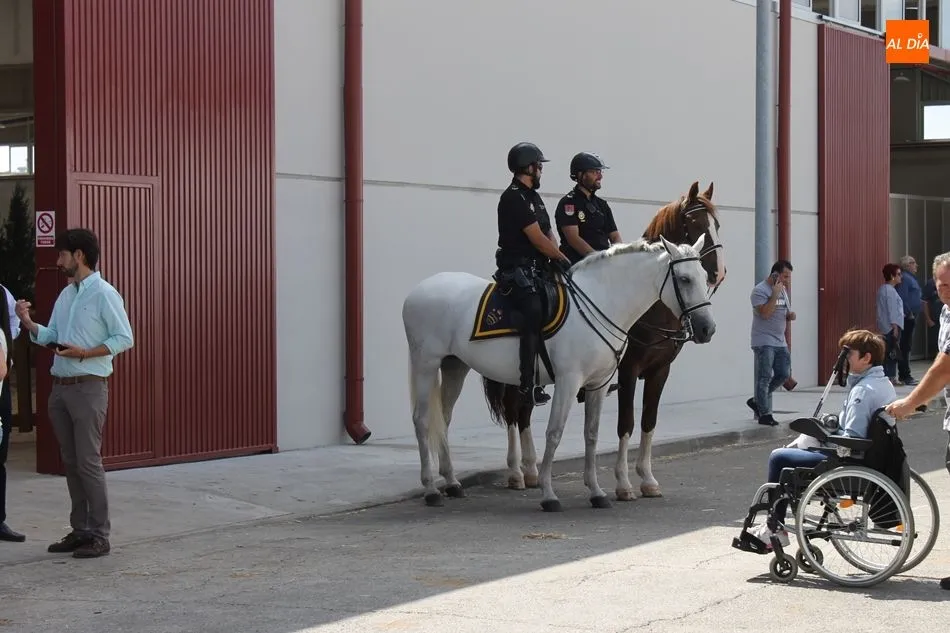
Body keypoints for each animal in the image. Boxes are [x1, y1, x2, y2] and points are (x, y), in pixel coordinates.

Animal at [402, 233, 716, 512]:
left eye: (704, 276)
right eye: (685, 279)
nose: (707, 329)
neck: (603, 302)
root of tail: (417, 291)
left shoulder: (599, 384)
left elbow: (592, 433)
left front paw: (596, 492)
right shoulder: (569, 381)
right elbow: (555, 432)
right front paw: (548, 494)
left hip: (455, 365)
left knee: (443, 419)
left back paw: (452, 483)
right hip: (426, 363)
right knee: (421, 420)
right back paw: (431, 489)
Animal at [482, 181, 725, 495]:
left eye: (716, 224)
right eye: (696, 223)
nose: (718, 272)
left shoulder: (660, 370)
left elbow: (648, 421)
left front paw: (647, 478)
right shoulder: (627, 370)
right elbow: (626, 423)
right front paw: (623, 482)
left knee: (523, 411)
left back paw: (532, 470)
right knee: (514, 410)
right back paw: (516, 471)